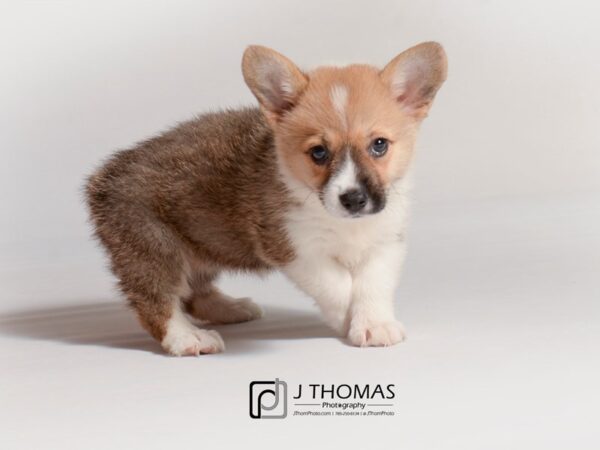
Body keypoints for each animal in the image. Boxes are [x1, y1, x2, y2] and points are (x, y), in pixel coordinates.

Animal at [86, 41, 448, 356]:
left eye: (379, 145)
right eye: (319, 152)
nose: (354, 199)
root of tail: (101, 179)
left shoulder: (386, 242)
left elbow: (373, 285)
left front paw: (375, 325)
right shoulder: (295, 249)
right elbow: (338, 286)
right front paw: (345, 320)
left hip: (202, 246)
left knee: (193, 292)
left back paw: (230, 308)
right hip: (154, 248)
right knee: (157, 301)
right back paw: (188, 338)